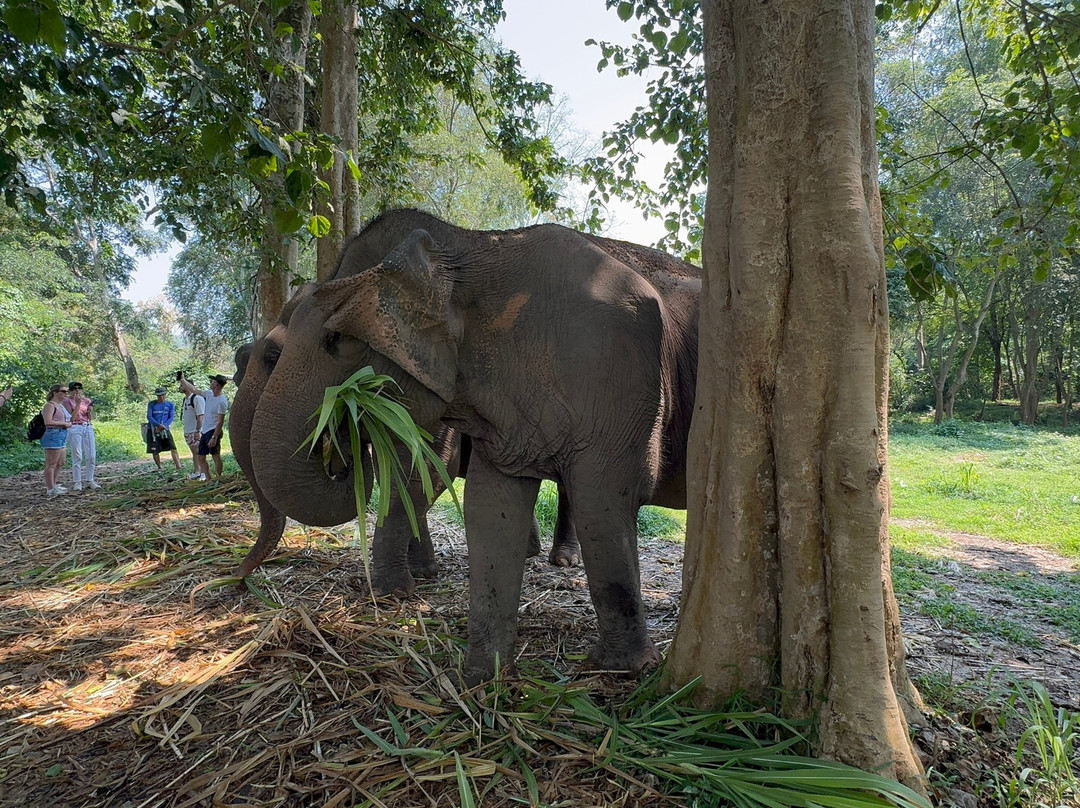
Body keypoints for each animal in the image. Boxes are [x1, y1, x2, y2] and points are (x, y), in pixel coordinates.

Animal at [228, 210, 582, 594]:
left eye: (272, 357)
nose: (237, 579)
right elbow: (402, 470)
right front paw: (423, 572)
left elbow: (430, 468)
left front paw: (393, 590)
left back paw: (564, 561)